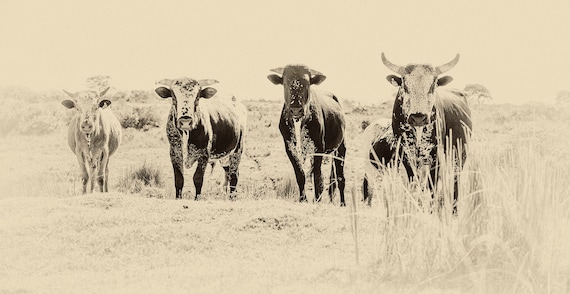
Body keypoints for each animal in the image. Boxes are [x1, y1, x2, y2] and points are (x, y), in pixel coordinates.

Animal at [362, 53, 472, 214]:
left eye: (433, 84)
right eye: (405, 84)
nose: (418, 117)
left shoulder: (435, 158)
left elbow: (432, 187)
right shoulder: (407, 157)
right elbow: (414, 185)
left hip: (459, 156)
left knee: (454, 181)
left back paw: (454, 210)